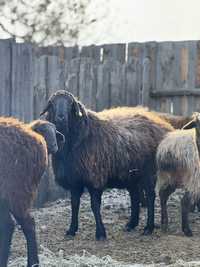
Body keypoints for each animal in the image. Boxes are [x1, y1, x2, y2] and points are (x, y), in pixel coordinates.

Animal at [0, 119, 64, 267]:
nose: (54, 146)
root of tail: (38, 140)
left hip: (16, 191)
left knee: (25, 224)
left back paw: (32, 263)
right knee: (10, 224)